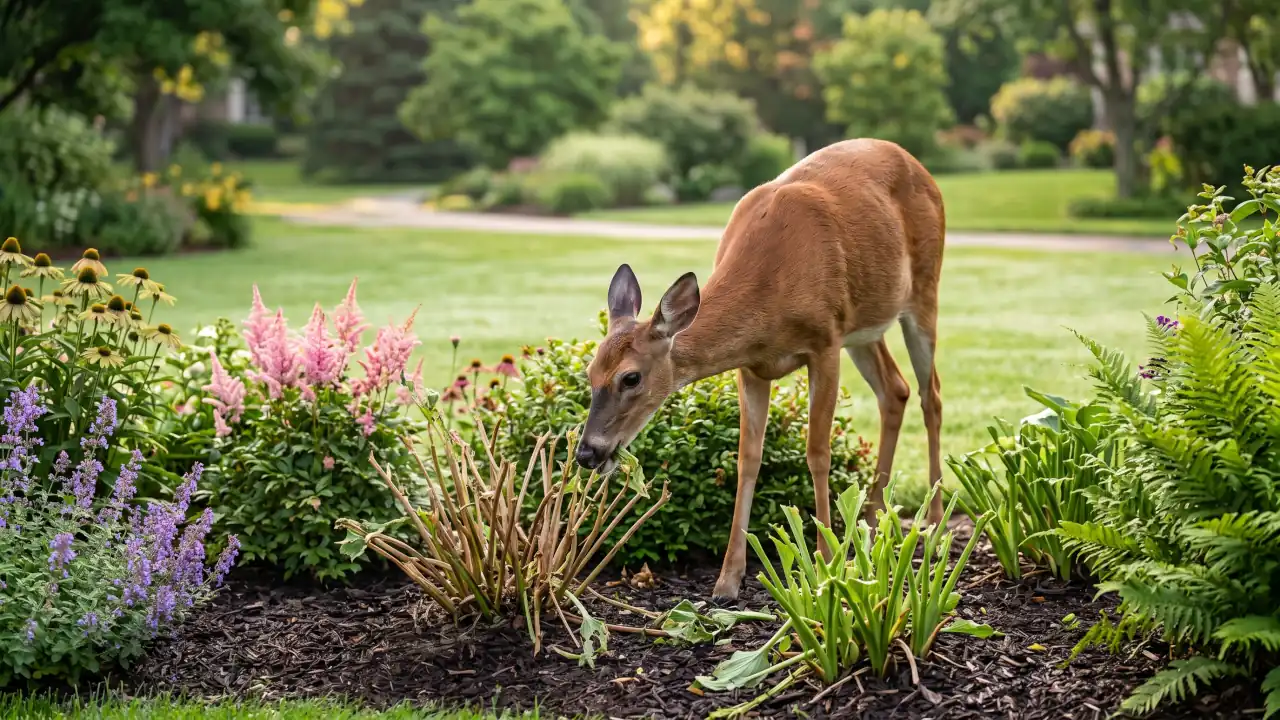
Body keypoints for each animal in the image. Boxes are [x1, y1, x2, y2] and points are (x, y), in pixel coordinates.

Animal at [574, 138, 946, 600]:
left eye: (631, 377)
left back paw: (934, 522)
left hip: (924, 291)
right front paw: (727, 580)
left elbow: (817, 452)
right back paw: (873, 522)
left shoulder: (825, 342)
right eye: (590, 373)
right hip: (865, 327)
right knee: (895, 390)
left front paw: (824, 563)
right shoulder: (750, 368)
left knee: (932, 395)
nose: (587, 452)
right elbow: (747, 458)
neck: (770, 298)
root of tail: (917, 164)